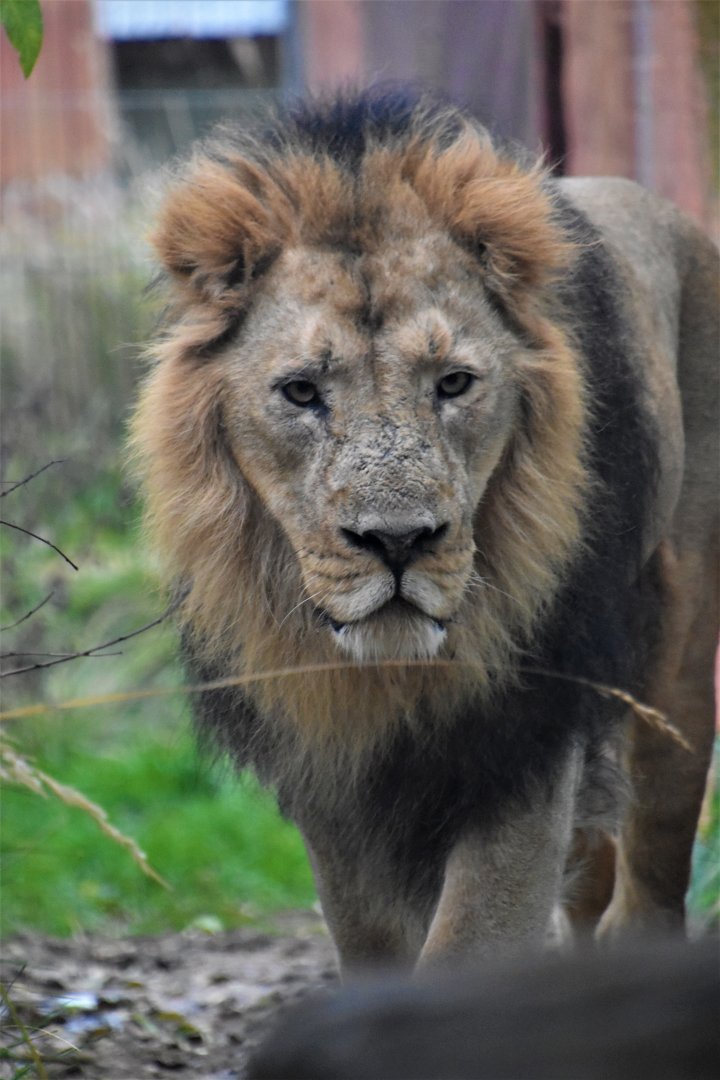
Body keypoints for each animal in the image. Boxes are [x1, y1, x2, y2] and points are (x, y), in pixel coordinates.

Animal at [130, 87, 719, 972]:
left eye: (454, 383)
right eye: (300, 392)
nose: (399, 542)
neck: (393, 676)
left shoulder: (525, 739)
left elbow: (472, 941)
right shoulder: (330, 767)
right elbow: (373, 942)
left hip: (678, 652)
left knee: (650, 872)